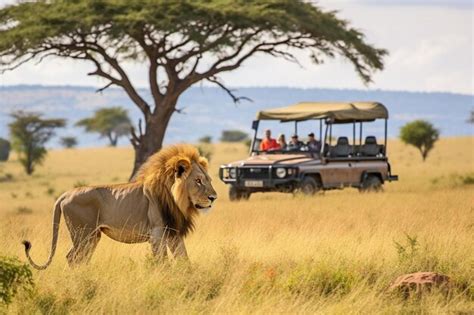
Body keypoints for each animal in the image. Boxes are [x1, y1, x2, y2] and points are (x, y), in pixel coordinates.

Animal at [21, 144, 216, 270]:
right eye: (198, 181)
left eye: (208, 180)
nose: (213, 197)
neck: (175, 199)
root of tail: (65, 194)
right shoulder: (157, 234)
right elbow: (162, 262)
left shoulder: (174, 233)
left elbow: (184, 259)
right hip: (83, 234)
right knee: (74, 258)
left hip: (92, 236)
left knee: (77, 258)